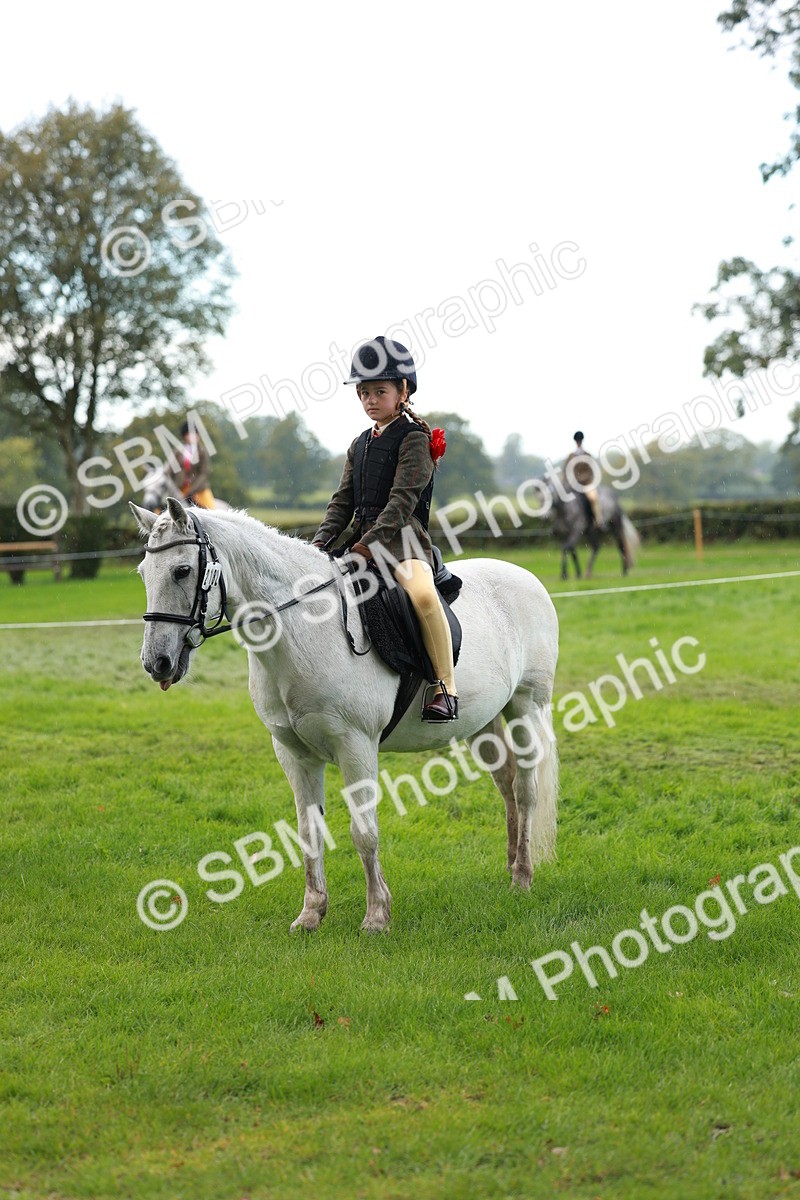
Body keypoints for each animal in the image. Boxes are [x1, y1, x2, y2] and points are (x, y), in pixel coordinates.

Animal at [130, 498, 560, 933]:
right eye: (143, 573)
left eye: (182, 571)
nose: (157, 662)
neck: (303, 628)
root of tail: (526, 578)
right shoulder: (293, 753)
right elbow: (308, 832)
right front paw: (311, 913)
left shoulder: (356, 746)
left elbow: (364, 832)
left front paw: (376, 916)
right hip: (485, 721)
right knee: (506, 785)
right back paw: (511, 865)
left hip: (526, 706)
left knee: (525, 790)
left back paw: (522, 877)